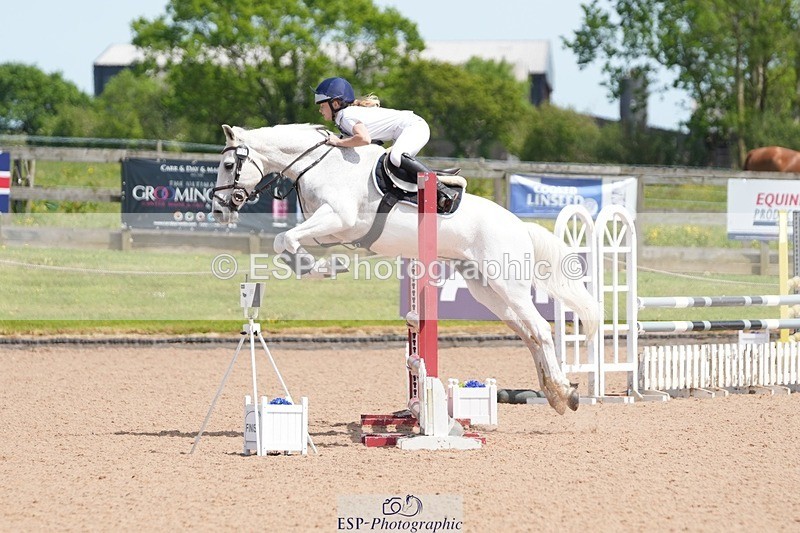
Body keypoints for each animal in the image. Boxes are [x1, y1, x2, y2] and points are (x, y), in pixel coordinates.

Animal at [211, 123, 601, 415]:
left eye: (229, 165)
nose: (218, 209)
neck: (320, 164)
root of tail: (520, 226)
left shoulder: (337, 218)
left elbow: (285, 239)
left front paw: (325, 267)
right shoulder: (333, 230)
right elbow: (286, 242)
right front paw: (324, 265)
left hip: (508, 284)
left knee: (540, 329)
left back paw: (564, 393)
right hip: (486, 290)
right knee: (528, 333)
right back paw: (556, 393)